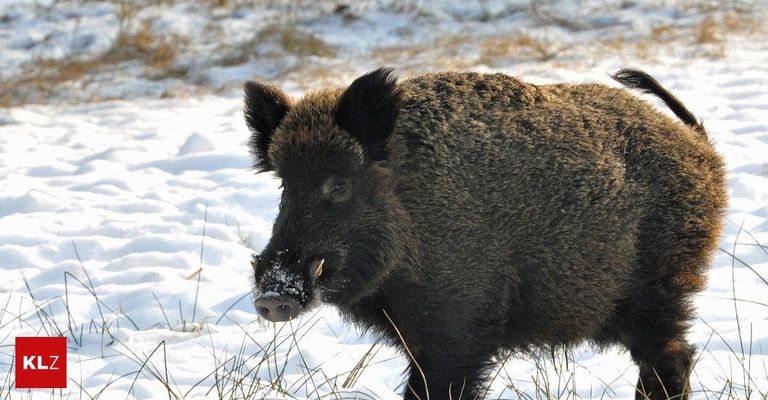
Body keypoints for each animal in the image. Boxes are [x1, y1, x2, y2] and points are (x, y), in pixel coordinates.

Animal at [244, 68, 727, 400]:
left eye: (339, 184)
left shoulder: (458, 327)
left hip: (661, 288)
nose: (273, 296)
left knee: (673, 359)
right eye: (284, 185)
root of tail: (701, 148)